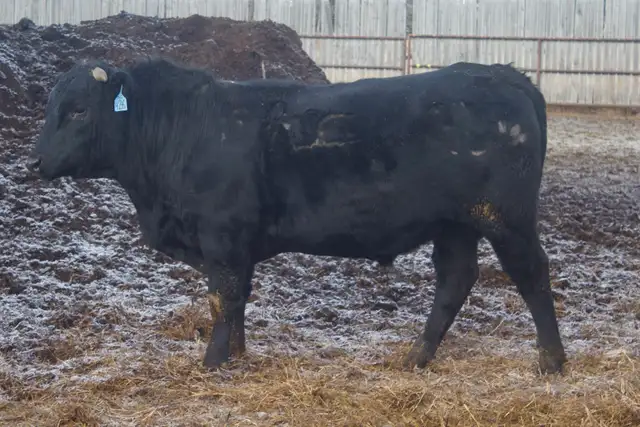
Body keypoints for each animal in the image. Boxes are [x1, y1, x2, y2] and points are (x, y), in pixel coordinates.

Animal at [28, 57, 567, 375]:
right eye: (51, 106)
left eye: (79, 110)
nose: (35, 162)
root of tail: (501, 73)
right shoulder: (235, 247)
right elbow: (238, 300)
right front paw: (238, 353)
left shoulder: (222, 237)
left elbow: (222, 299)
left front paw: (213, 362)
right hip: (455, 224)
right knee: (455, 280)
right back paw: (416, 357)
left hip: (506, 217)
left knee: (533, 276)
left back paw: (551, 361)